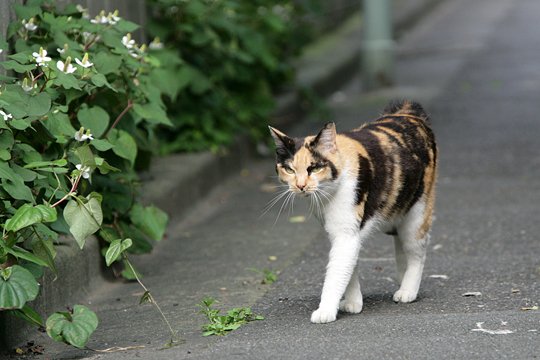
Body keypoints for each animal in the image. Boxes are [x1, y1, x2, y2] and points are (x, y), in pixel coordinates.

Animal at [268, 100, 436, 324]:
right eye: (289, 169)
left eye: (314, 168)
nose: (300, 185)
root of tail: (407, 111)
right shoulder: (340, 234)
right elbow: (349, 269)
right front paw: (352, 303)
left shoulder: (346, 235)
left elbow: (336, 273)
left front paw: (325, 311)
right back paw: (402, 280)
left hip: (417, 215)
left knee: (417, 252)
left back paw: (408, 291)